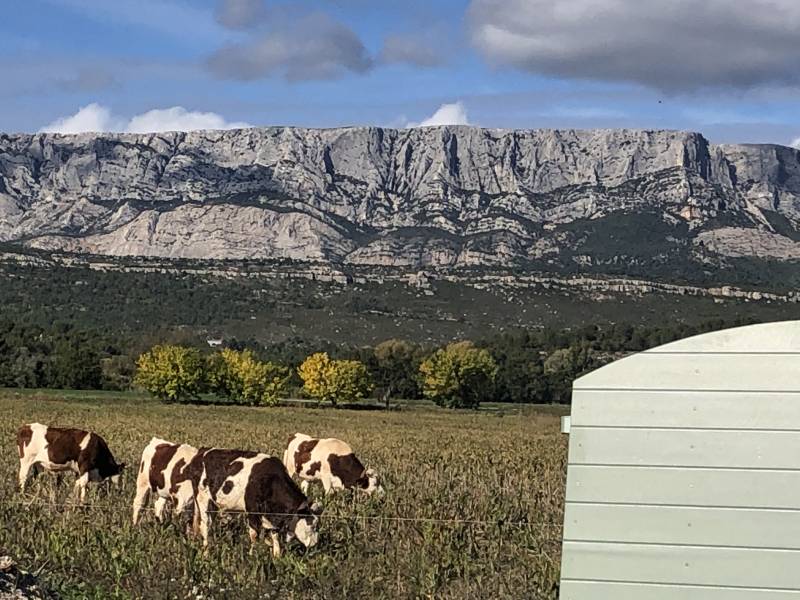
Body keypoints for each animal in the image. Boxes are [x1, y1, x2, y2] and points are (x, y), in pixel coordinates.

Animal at [194, 449, 322, 556]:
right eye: (312, 525)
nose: (315, 544)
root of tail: (203, 452)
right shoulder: (252, 511)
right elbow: (254, 534)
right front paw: (252, 554)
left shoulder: (272, 515)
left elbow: (275, 535)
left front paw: (277, 555)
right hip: (203, 500)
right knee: (205, 526)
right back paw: (206, 552)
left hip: (214, 505)